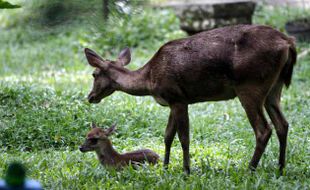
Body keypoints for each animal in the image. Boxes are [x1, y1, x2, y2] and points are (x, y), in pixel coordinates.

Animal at [83, 24, 296, 174]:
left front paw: (186, 171)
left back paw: (250, 169)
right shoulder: (172, 101)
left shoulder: (178, 99)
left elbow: (184, 137)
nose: (90, 97)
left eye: (94, 74)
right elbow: (168, 135)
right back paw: (281, 167)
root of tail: (288, 42)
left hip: (250, 85)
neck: (150, 79)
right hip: (274, 88)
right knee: (282, 124)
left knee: (263, 129)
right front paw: (165, 167)